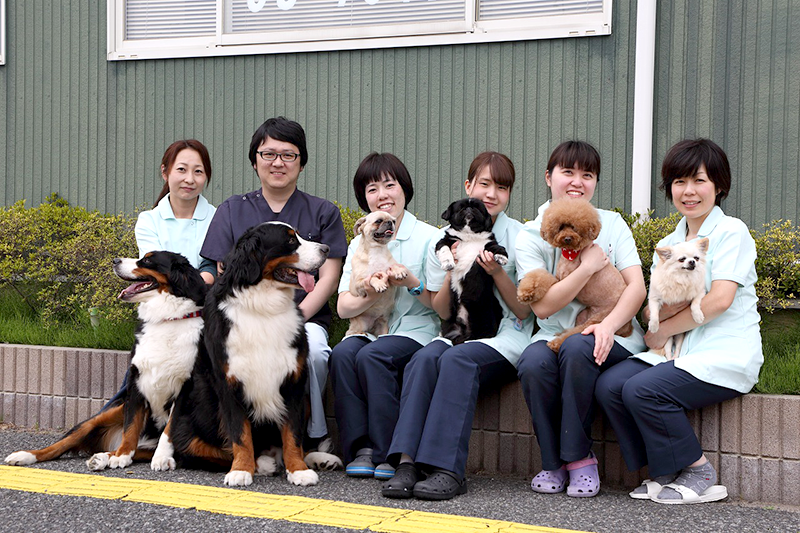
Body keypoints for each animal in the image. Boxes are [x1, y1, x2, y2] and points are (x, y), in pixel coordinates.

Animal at [4, 251, 205, 468]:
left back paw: (103, 457)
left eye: (148, 260)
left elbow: (168, 431)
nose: (115, 261)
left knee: (140, 449)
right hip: (105, 414)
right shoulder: (136, 383)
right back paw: (26, 455)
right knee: (61, 444)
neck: (166, 321)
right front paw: (123, 454)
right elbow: (131, 427)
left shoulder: (184, 388)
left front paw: (162, 458)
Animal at [434, 197, 510, 342]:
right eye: (461, 207)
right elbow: (445, 250)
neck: (469, 236)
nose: (469, 208)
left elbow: (498, 247)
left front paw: (501, 257)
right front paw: (448, 263)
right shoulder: (444, 242)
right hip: (449, 322)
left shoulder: (489, 244)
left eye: (478, 207)